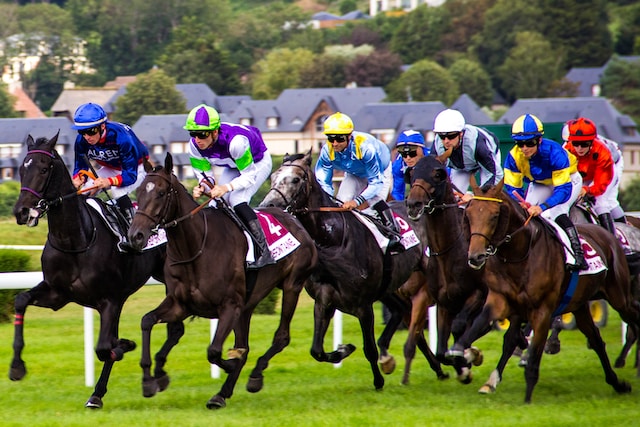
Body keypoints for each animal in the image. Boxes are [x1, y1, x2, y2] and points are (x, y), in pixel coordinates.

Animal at [11, 135, 168, 412]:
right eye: (21, 169)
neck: (76, 240)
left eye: (43, 169)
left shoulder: (110, 301)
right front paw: (17, 366)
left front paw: (125, 345)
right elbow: (20, 299)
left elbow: (106, 347)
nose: (22, 212)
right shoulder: (57, 293)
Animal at [127, 154, 318, 412]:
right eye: (140, 191)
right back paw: (222, 393)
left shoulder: (229, 306)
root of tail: (295, 219)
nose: (135, 236)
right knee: (246, 343)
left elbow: (215, 351)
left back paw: (252, 377)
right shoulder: (181, 304)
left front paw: (230, 363)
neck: (196, 247)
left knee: (281, 337)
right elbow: (146, 321)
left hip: (292, 286)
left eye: (160, 192)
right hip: (247, 306)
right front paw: (150, 380)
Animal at [258, 151, 448, 392]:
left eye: (295, 179)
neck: (333, 240)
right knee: (407, 317)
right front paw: (343, 350)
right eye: (273, 177)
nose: (268, 204)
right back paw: (437, 369)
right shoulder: (324, 301)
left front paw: (378, 381)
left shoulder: (363, 305)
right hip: (390, 288)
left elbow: (369, 349)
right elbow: (316, 351)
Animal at [448, 180, 640, 404]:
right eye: (469, 214)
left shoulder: (542, 310)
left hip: (620, 297)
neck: (520, 255)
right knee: (597, 340)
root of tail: (610, 237)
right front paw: (463, 355)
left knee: (632, 320)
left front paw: (527, 398)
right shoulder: (501, 300)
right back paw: (618, 383)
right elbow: (480, 327)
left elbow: (533, 354)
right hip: (580, 305)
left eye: (494, 215)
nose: (475, 257)